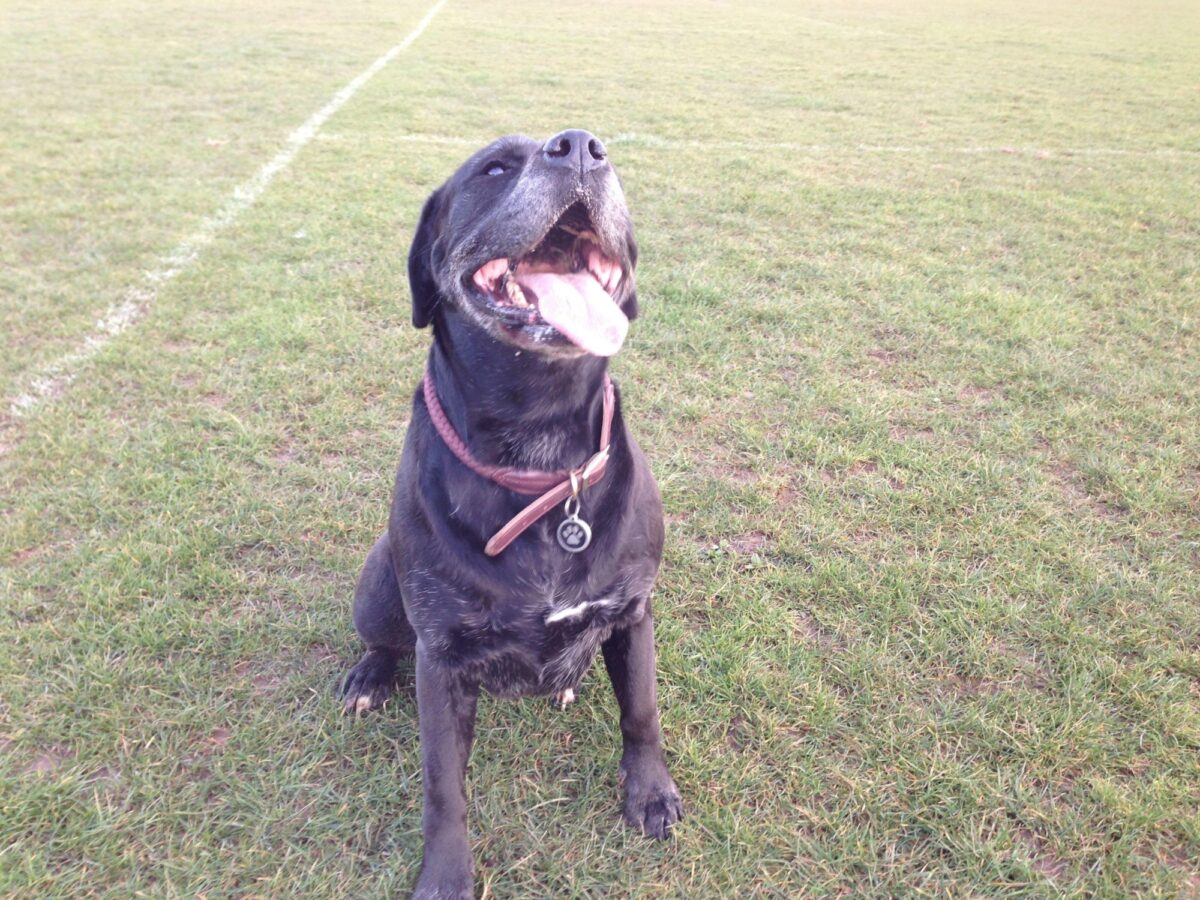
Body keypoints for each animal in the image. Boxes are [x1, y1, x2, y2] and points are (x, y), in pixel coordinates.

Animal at [345, 130, 686, 897]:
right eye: (495, 167)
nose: (581, 147)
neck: (541, 455)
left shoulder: (633, 611)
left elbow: (642, 712)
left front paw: (649, 792)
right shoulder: (441, 657)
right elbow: (443, 787)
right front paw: (445, 875)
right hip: (379, 582)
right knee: (382, 640)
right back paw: (369, 677)